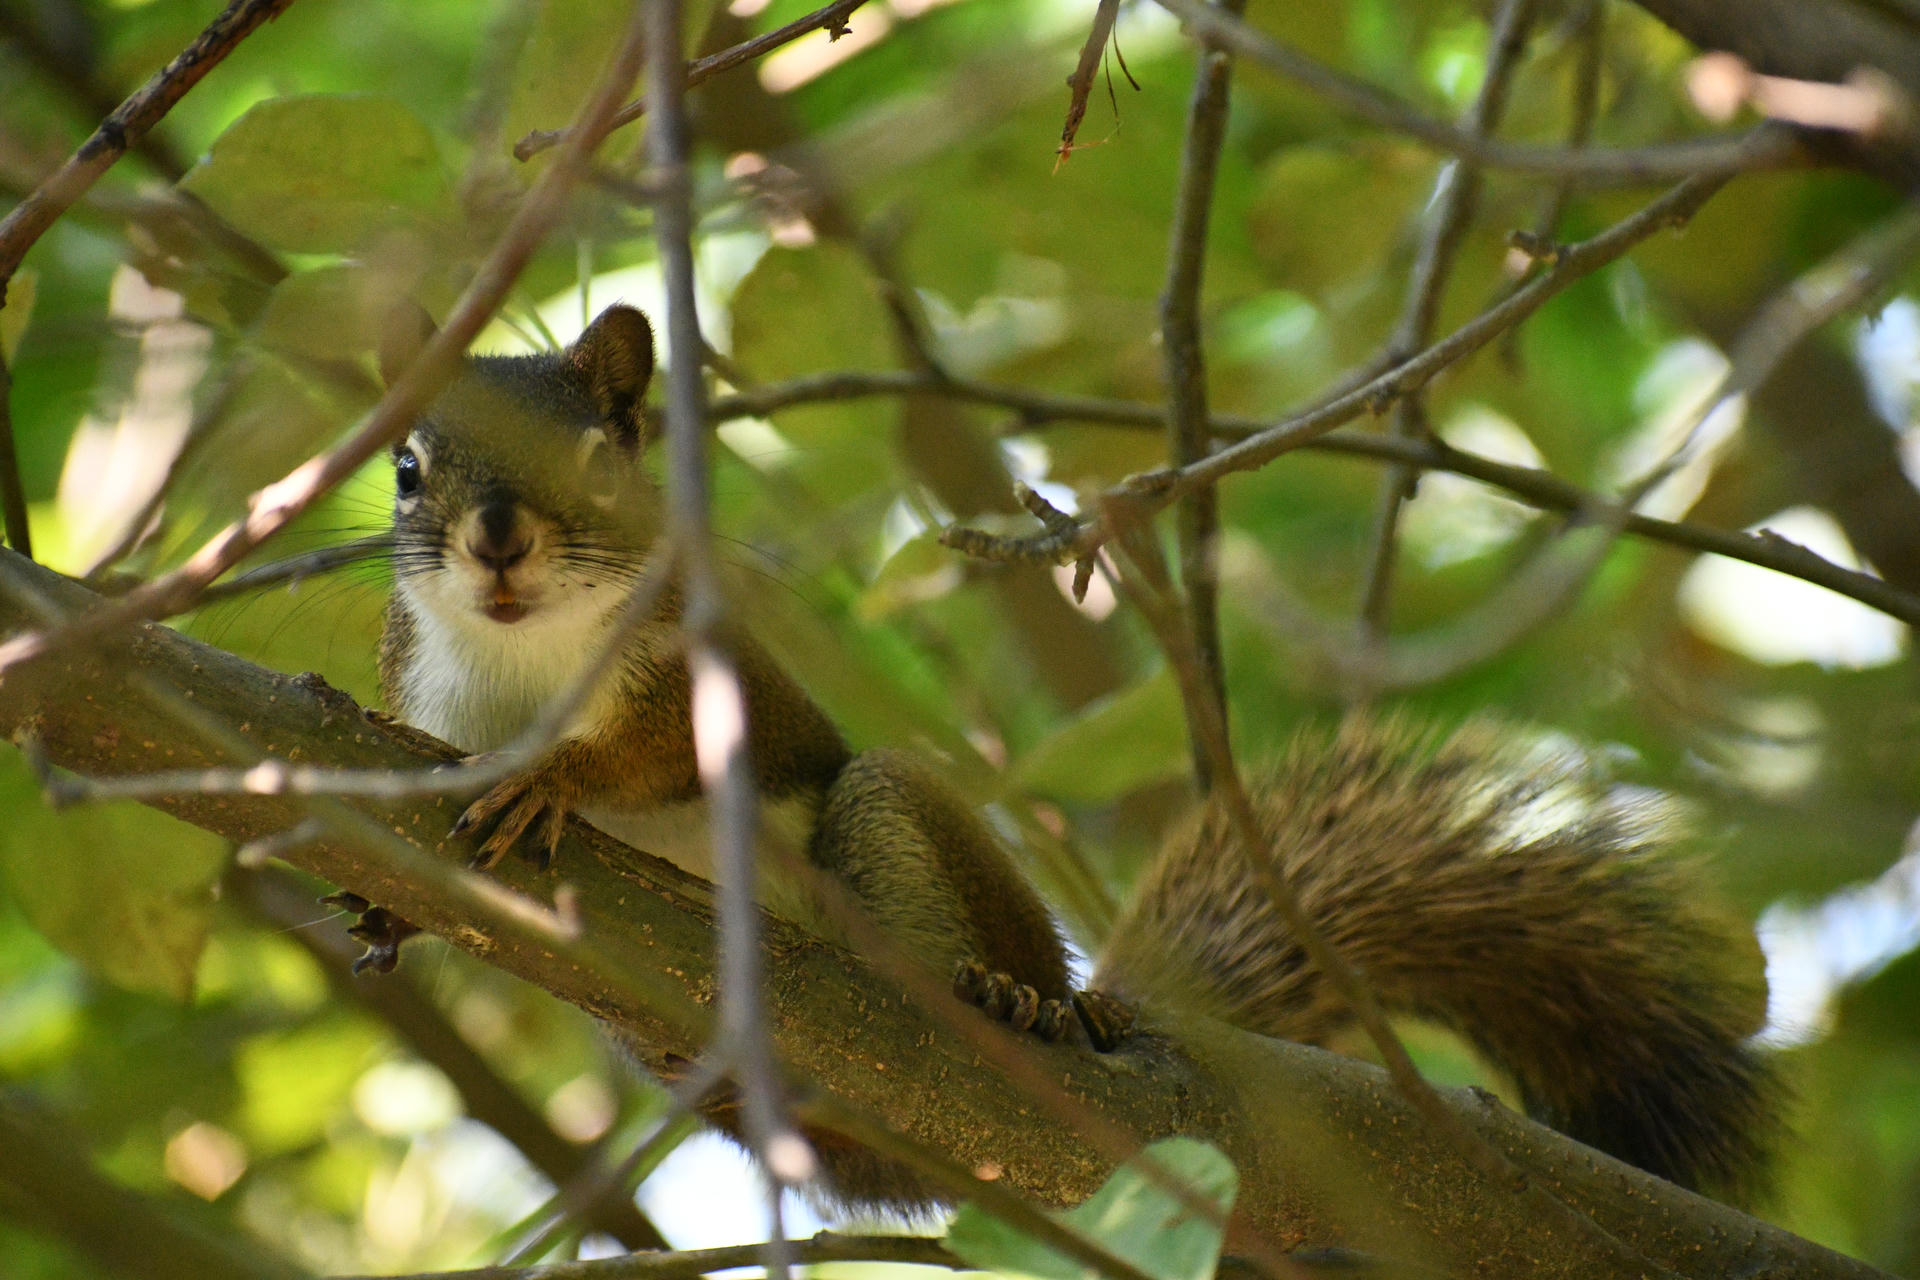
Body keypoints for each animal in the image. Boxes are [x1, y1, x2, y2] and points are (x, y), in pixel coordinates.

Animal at [363, 301, 1776, 1210]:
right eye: (406, 467)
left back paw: (1028, 996)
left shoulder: (714, 674)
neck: (527, 660)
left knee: (971, 914)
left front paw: (556, 775)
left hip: (892, 810)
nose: (498, 539)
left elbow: (664, 752)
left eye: (600, 454)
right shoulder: (417, 704)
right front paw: (388, 905)